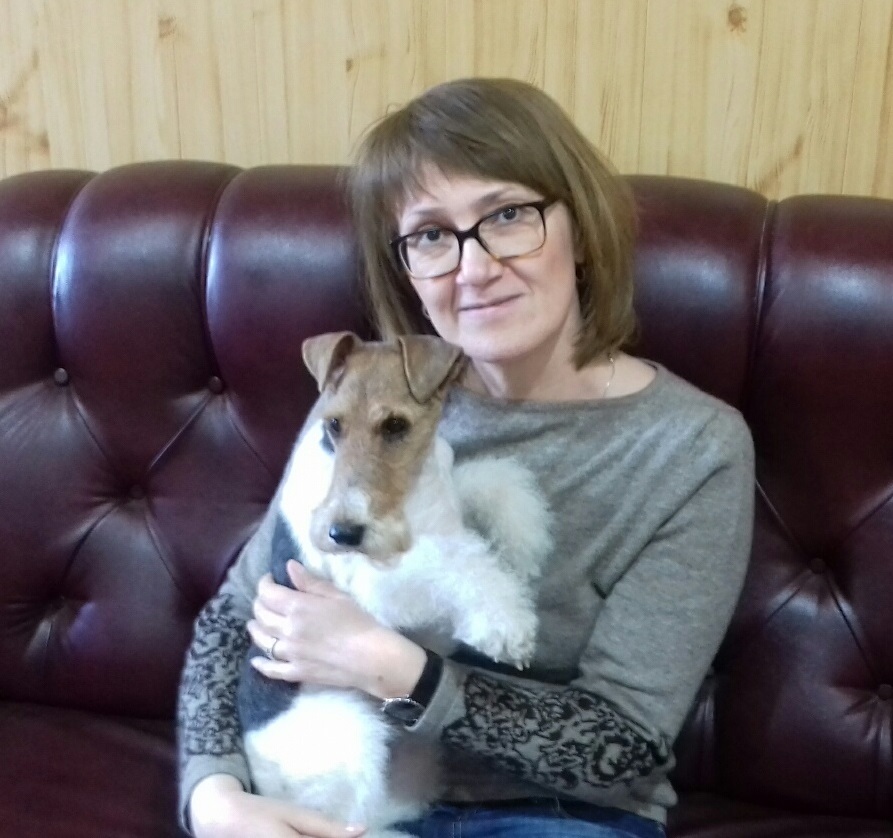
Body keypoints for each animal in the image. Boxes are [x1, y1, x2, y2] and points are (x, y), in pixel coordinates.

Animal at [237, 332, 552, 837]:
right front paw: (507, 627)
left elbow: (493, 480)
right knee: (348, 824)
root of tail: (261, 789)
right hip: (350, 739)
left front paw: (525, 547)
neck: (411, 497)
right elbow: (456, 560)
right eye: (334, 425)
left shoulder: (446, 500)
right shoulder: (373, 584)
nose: (340, 533)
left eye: (395, 426)